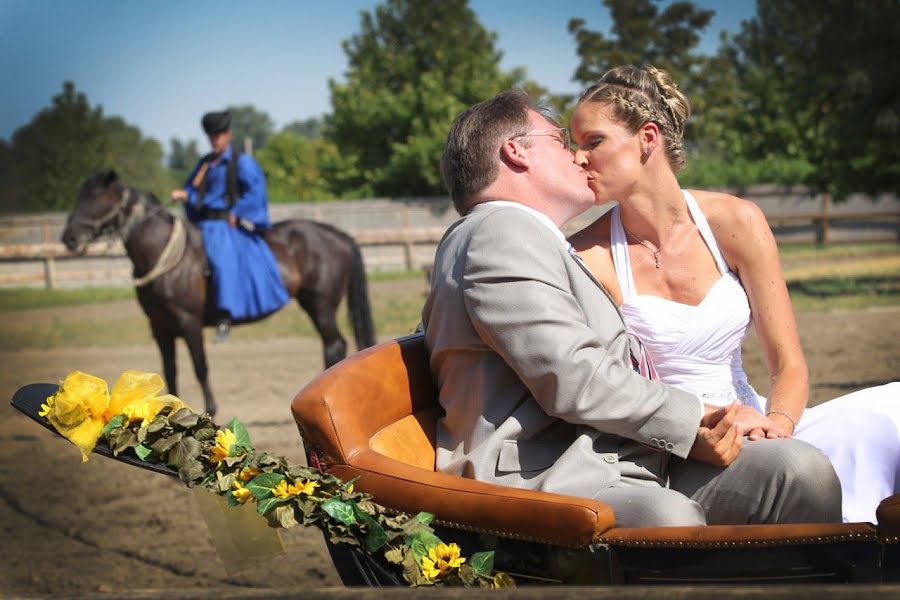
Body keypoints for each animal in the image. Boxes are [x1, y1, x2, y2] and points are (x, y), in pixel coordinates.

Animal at [60, 170, 376, 418]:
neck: (164, 255)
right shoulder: (160, 328)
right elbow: (169, 370)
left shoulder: (189, 322)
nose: (69, 238)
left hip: (321, 305)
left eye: (95, 198)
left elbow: (200, 367)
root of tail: (337, 234)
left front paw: (210, 409)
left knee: (334, 344)